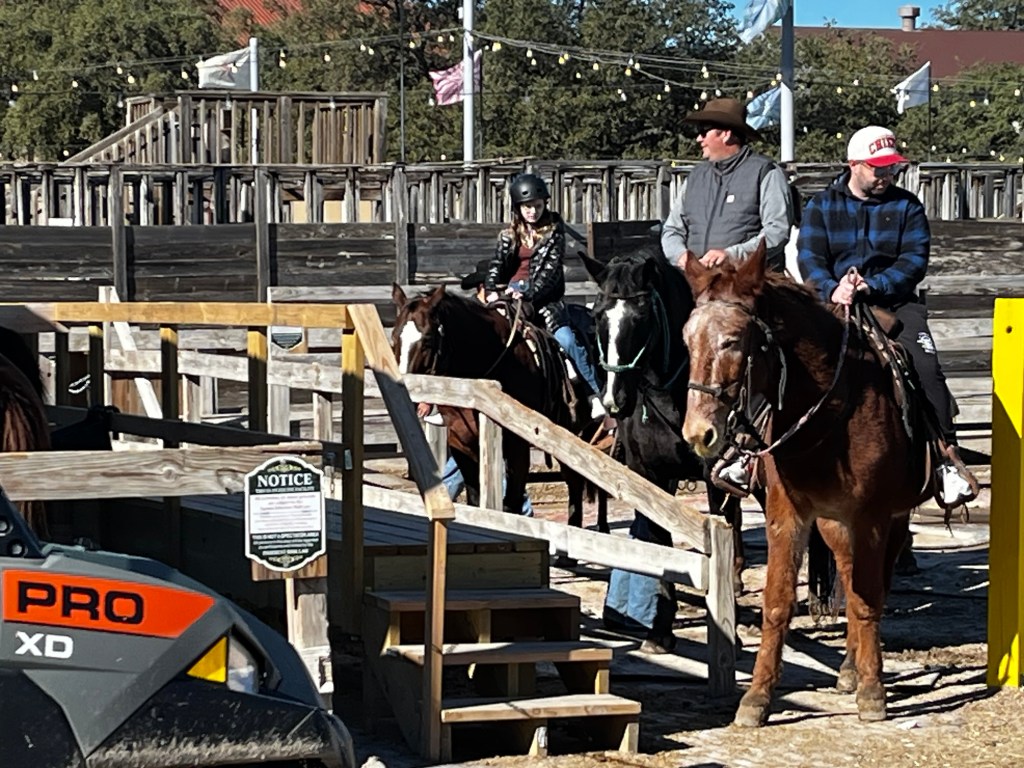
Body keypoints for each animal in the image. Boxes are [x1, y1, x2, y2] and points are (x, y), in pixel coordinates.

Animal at [391, 284, 608, 531]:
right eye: (394, 339)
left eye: (427, 339)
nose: (406, 392)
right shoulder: (461, 445)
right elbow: (475, 500)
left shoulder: (517, 447)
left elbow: (511, 505)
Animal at [680, 250, 924, 726]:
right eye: (687, 339)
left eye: (732, 341)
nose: (699, 433)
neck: (830, 415)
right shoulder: (787, 514)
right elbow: (778, 602)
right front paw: (757, 698)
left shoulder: (871, 516)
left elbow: (868, 599)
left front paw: (873, 692)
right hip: (832, 524)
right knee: (847, 573)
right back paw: (848, 668)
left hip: (892, 518)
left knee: (873, 584)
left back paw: (859, 670)